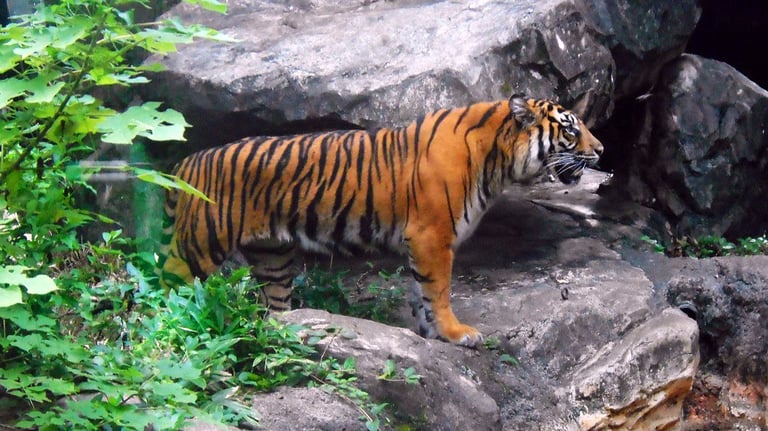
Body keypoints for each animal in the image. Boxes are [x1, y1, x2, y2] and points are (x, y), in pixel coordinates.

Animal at [157, 95, 603, 347]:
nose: (601, 150)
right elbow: (439, 290)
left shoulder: (422, 241)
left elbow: (422, 291)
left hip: (273, 258)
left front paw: (430, 333)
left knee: (274, 305)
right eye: (570, 129)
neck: (497, 159)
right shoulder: (432, 235)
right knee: (165, 290)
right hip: (199, 246)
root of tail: (185, 162)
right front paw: (457, 333)